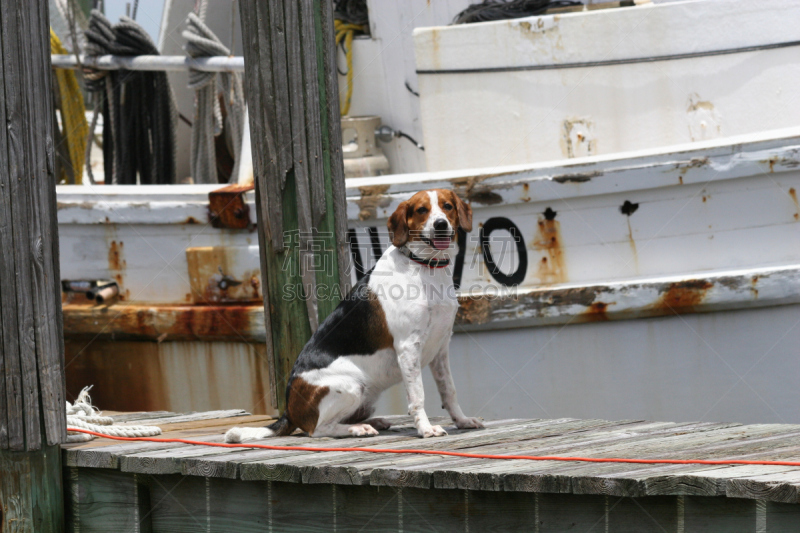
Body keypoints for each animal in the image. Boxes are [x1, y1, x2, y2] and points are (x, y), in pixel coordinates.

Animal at [228, 188, 484, 440]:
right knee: (318, 429)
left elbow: (449, 391)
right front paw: (426, 429)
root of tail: (289, 411)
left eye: (447, 206)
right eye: (422, 210)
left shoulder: (441, 348)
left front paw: (461, 421)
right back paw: (357, 429)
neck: (424, 266)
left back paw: (373, 422)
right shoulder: (409, 347)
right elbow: (417, 396)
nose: (440, 224)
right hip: (353, 385)